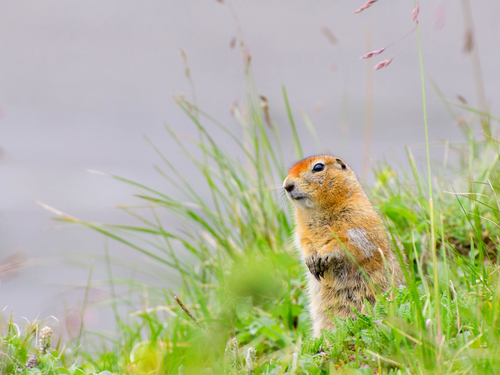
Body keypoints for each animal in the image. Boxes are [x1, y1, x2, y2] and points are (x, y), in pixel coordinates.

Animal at [284, 154, 404, 336]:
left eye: (318, 167)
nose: (287, 185)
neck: (317, 211)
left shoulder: (357, 221)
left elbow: (346, 243)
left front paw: (323, 256)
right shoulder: (302, 232)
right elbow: (304, 243)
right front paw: (311, 259)